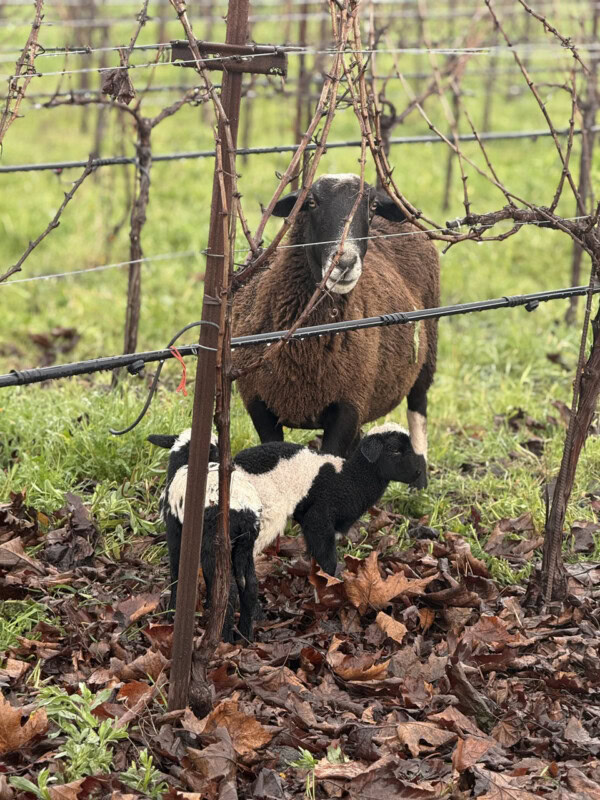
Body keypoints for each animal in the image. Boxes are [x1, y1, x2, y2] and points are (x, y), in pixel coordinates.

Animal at [149, 422, 422, 642]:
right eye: (396, 450)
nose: (419, 474)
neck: (348, 481)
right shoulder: (318, 520)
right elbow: (327, 561)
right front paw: (326, 597)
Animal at [232, 173, 440, 488]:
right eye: (311, 202)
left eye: (372, 206)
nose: (345, 263)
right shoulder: (259, 403)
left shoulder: (348, 406)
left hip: (427, 350)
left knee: (418, 408)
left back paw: (420, 482)